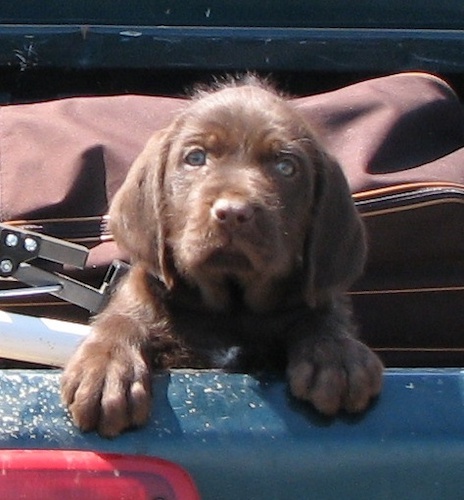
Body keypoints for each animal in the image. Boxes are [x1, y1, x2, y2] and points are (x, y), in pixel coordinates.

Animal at [59, 78, 382, 438]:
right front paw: (108, 368)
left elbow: (321, 316)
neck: (230, 309)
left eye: (286, 167)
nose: (233, 213)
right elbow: (124, 319)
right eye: (196, 157)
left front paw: (336, 353)